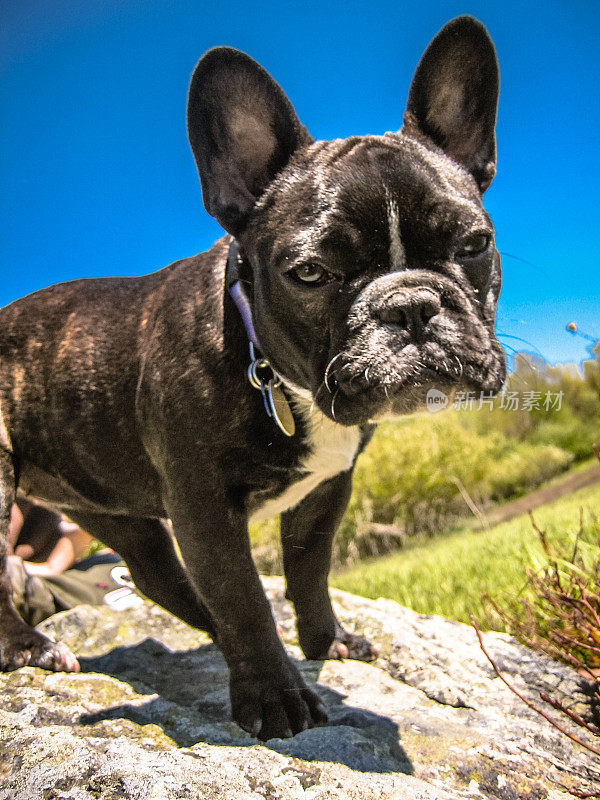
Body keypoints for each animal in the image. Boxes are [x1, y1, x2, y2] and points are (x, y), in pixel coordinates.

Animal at [0, 17, 506, 736]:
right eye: (310, 273)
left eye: (474, 244)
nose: (409, 304)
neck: (276, 377)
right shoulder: (206, 508)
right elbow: (243, 595)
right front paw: (273, 696)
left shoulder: (326, 490)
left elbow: (307, 573)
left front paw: (326, 642)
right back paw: (29, 648)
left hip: (114, 509)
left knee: (158, 576)